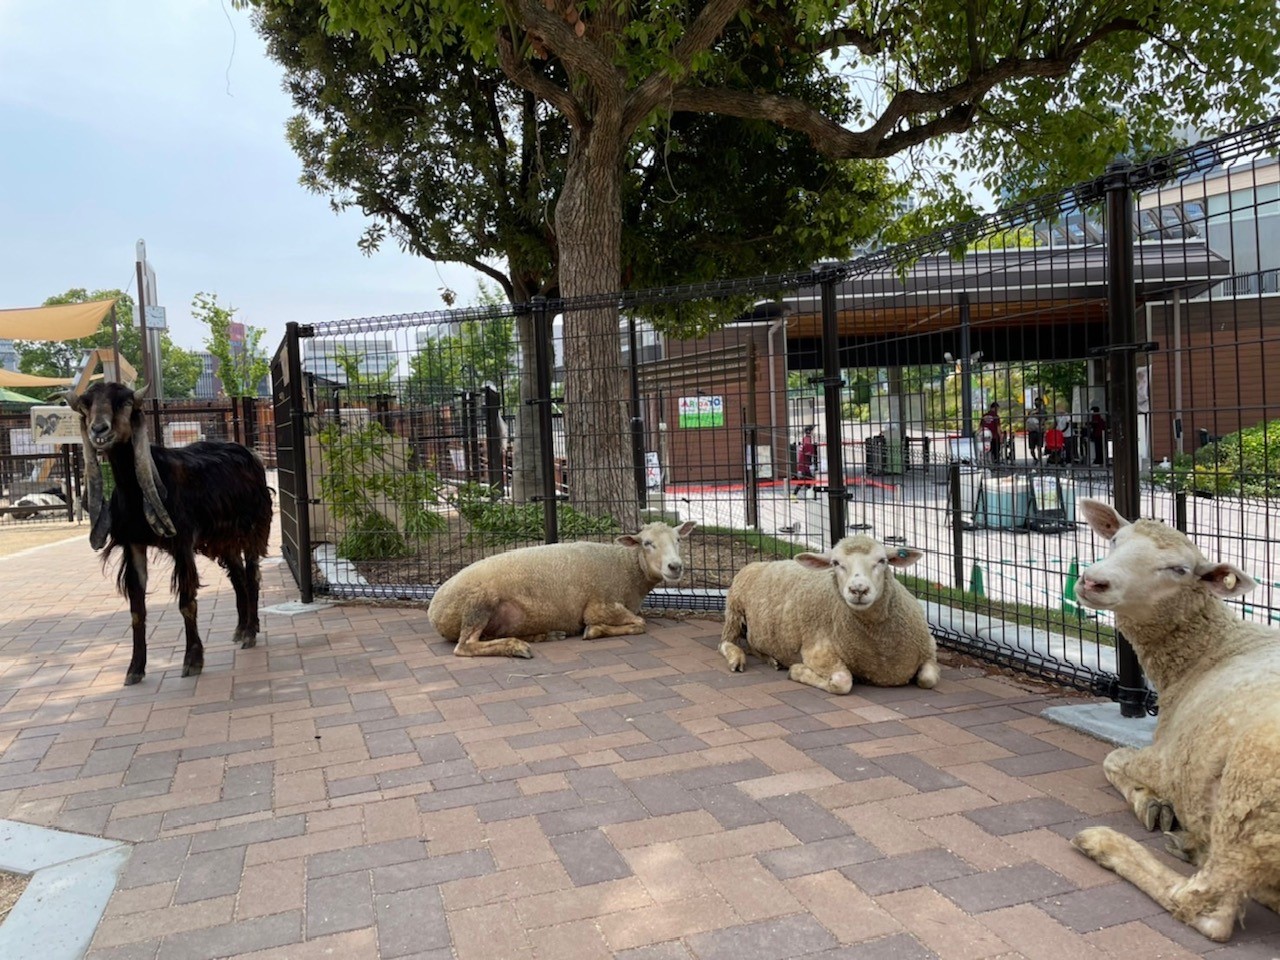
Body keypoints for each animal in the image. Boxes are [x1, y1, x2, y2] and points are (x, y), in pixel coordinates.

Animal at [66, 378, 271, 686]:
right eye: (87, 404)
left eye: (125, 402)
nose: (99, 430)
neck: (136, 490)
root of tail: (251, 454)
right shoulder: (133, 545)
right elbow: (137, 609)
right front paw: (135, 669)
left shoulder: (182, 543)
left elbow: (187, 602)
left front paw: (192, 661)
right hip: (223, 540)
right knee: (237, 578)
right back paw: (239, 629)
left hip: (251, 528)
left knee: (252, 576)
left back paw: (250, 633)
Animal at [430, 519, 696, 660]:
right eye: (647, 543)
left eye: (678, 540)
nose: (675, 566)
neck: (626, 567)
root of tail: (433, 612)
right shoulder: (599, 606)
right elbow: (640, 624)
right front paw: (593, 631)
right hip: (478, 604)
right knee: (464, 646)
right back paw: (517, 646)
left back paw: (545, 635)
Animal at [721, 537, 942, 696]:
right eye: (836, 563)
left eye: (882, 561)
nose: (858, 589)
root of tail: (763, 562)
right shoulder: (817, 651)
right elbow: (842, 682)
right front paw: (797, 670)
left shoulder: (929, 648)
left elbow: (929, 679)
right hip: (733, 607)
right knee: (725, 642)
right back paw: (737, 658)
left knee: (753, 643)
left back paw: (772, 659)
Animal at [1070, 499, 1280, 942]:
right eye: (1115, 539)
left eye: (1178, 569)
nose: (1093, 581)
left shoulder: (1168, 759)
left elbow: (1111, 759)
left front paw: (1151, 802)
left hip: (1250, 794)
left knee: (1205, 909)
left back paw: (1106, 844)